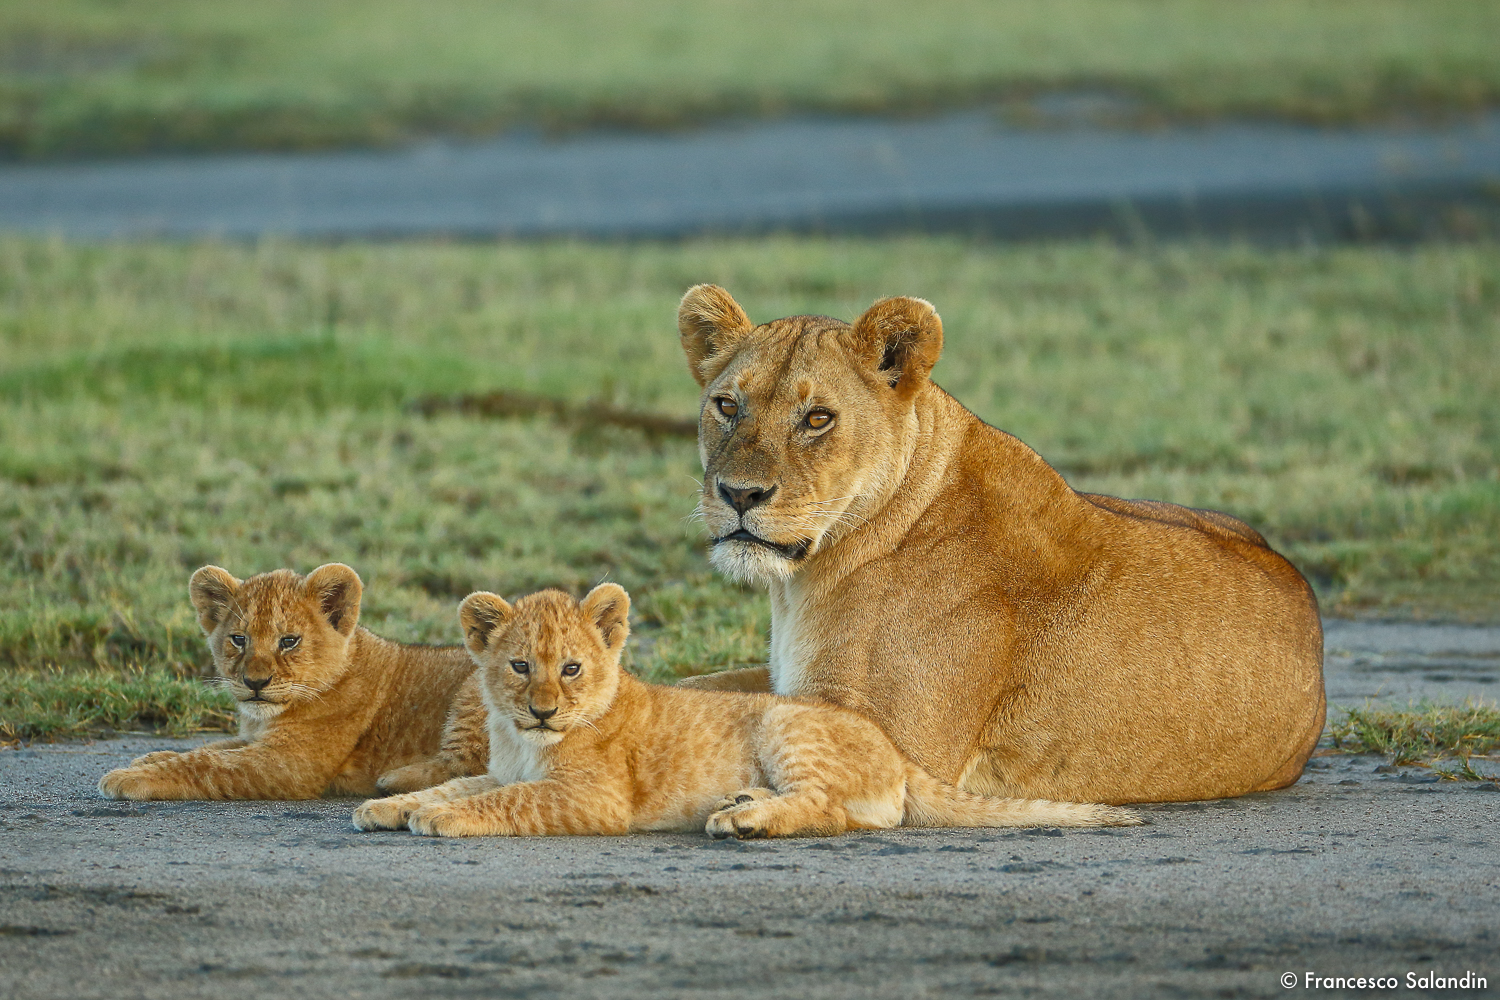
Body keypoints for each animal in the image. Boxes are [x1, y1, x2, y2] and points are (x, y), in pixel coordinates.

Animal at [98, 564, 484, 800]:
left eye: (289, 641)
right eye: (239, 639)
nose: (254, 682)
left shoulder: (290, 763)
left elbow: (208, 764)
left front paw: (128, 777)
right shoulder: (257, 739)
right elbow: (211, 748)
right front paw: (149, 758)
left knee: (468, 765)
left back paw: (391, 780)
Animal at [351, 585, 1139, 838]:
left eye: (571, 668)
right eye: (520, 667)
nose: (544, 711)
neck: (522, 738)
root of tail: (895, 751)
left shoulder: (593, 798)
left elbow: (505, 801)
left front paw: (442, 819)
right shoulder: (504, 766)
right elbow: (462, 782)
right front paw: (390, 806)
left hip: (786, 723)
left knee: (830, 811)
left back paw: (744, 820)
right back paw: (746, 802)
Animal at [672, 285, 1326, 805]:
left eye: (817, 419)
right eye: (727, 405)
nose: (739, 494)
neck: (808, 580)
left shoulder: (897, 739)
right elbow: (693, 693)